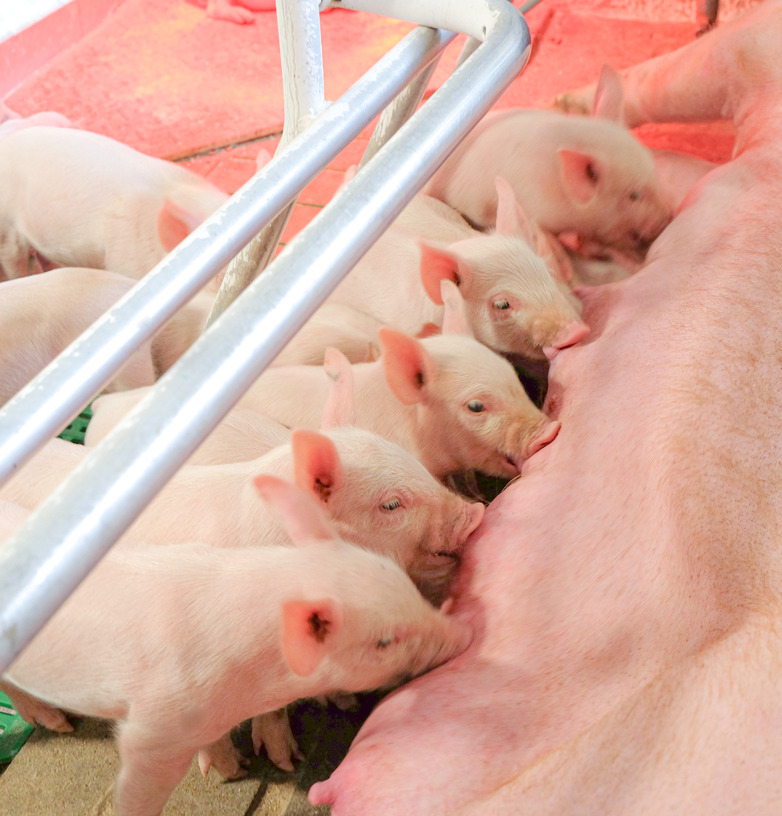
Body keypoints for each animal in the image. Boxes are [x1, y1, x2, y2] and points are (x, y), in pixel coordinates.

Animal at [3, 476, 470, 816]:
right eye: (384, 640)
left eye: (405, 586)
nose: (461, 631)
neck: (248, 686)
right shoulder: (154, 726)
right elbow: (139, 784)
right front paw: (241, 773)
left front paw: (244, 766)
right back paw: (59, 724)